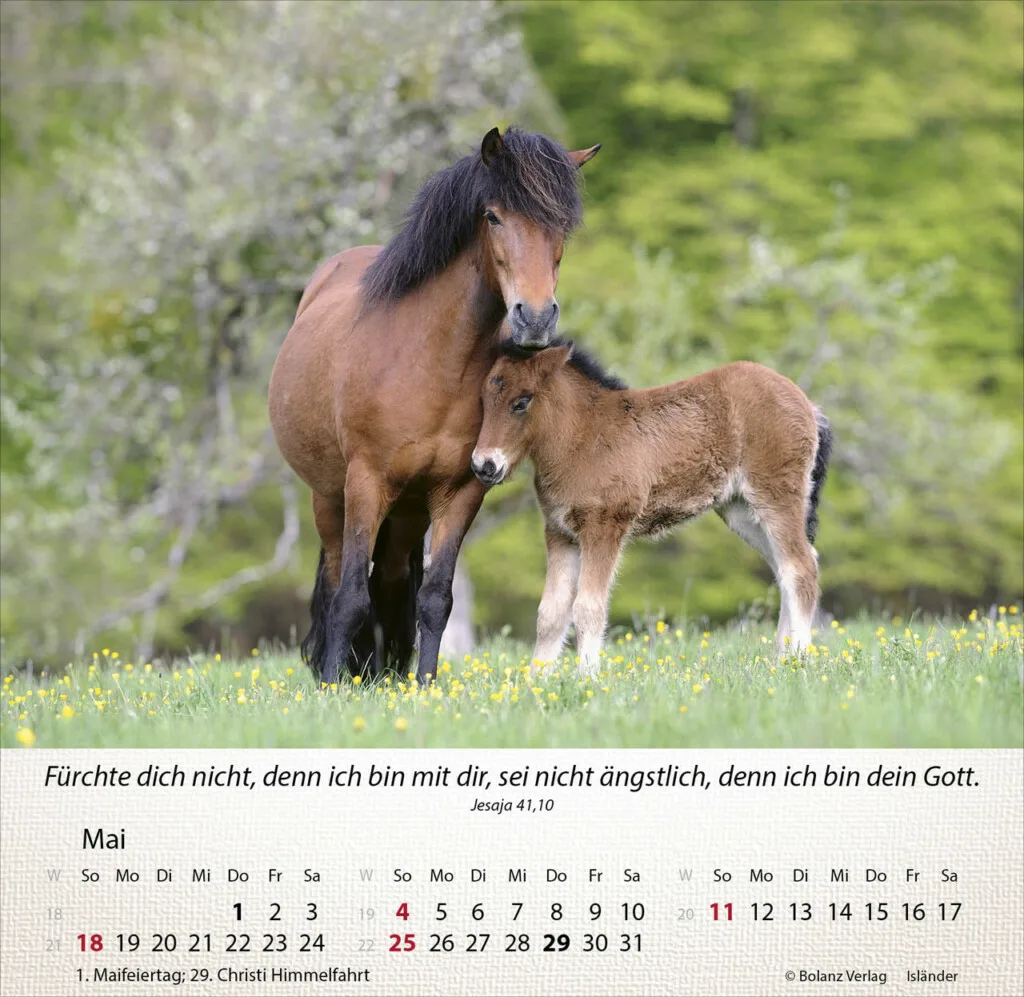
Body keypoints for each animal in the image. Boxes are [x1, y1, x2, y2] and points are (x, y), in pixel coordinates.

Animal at [268, 127, 601, 685]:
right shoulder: (365, 483)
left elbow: (435, 598)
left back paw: (381, 671)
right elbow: (350, 597)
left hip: (406, 514)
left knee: (391, 580)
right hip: (329, 499)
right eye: (493, 216)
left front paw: (423, 686)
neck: (435, 363)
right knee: (338, 585)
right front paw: (333, 686)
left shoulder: (462, 489)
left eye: (561, 224)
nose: (534, 318)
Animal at [470, 342, 833, 675]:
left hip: (776, 495)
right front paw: (537, 682)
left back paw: (798, 660)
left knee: (800, 567)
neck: (581, 439)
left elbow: (588, 607)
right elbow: (550, 612)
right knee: (786, 568)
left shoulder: (604, 527)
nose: (484, 465)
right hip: (740, 511)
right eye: (483, 401)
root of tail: (809, 405)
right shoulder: (560, 533)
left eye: (522, 402)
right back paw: (779, 659)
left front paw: (587, 679)